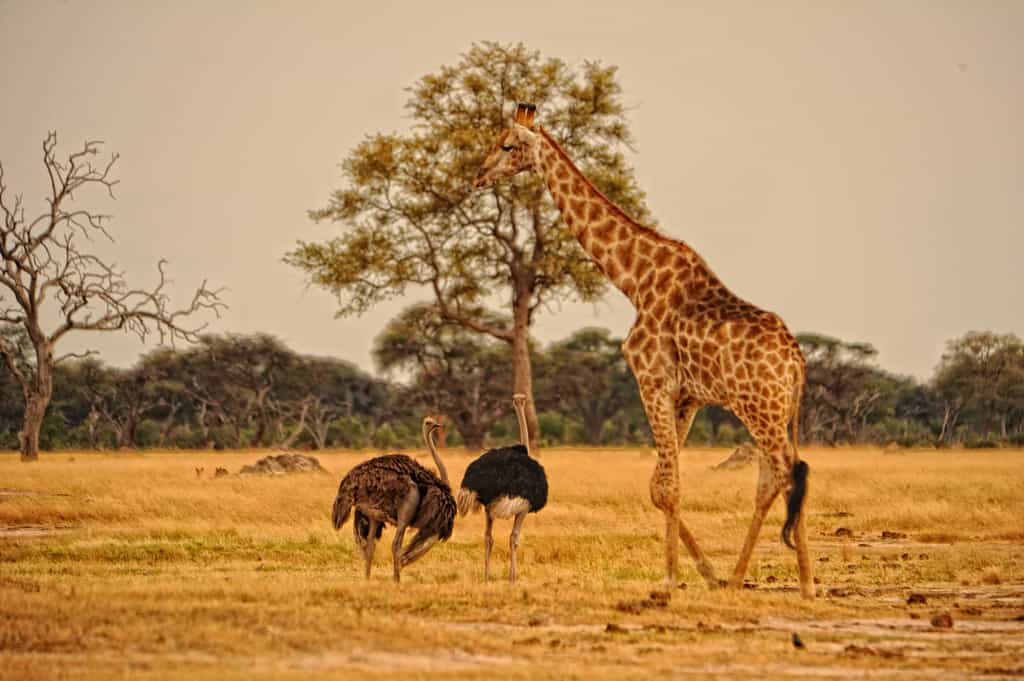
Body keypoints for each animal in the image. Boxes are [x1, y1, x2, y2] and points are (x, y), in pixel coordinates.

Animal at [472, 103, 814, 599]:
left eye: (506, 145)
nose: (478, 176)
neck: (634, 279)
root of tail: (797, 364)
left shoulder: (651, 380)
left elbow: (666, 487)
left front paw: (669, 579)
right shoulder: (686, 395)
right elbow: (659, 484)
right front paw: (705, 573)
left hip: (760, 409)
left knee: (789, 472)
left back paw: (805, 583)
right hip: (772, 412)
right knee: (773, 477)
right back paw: (737, 578)